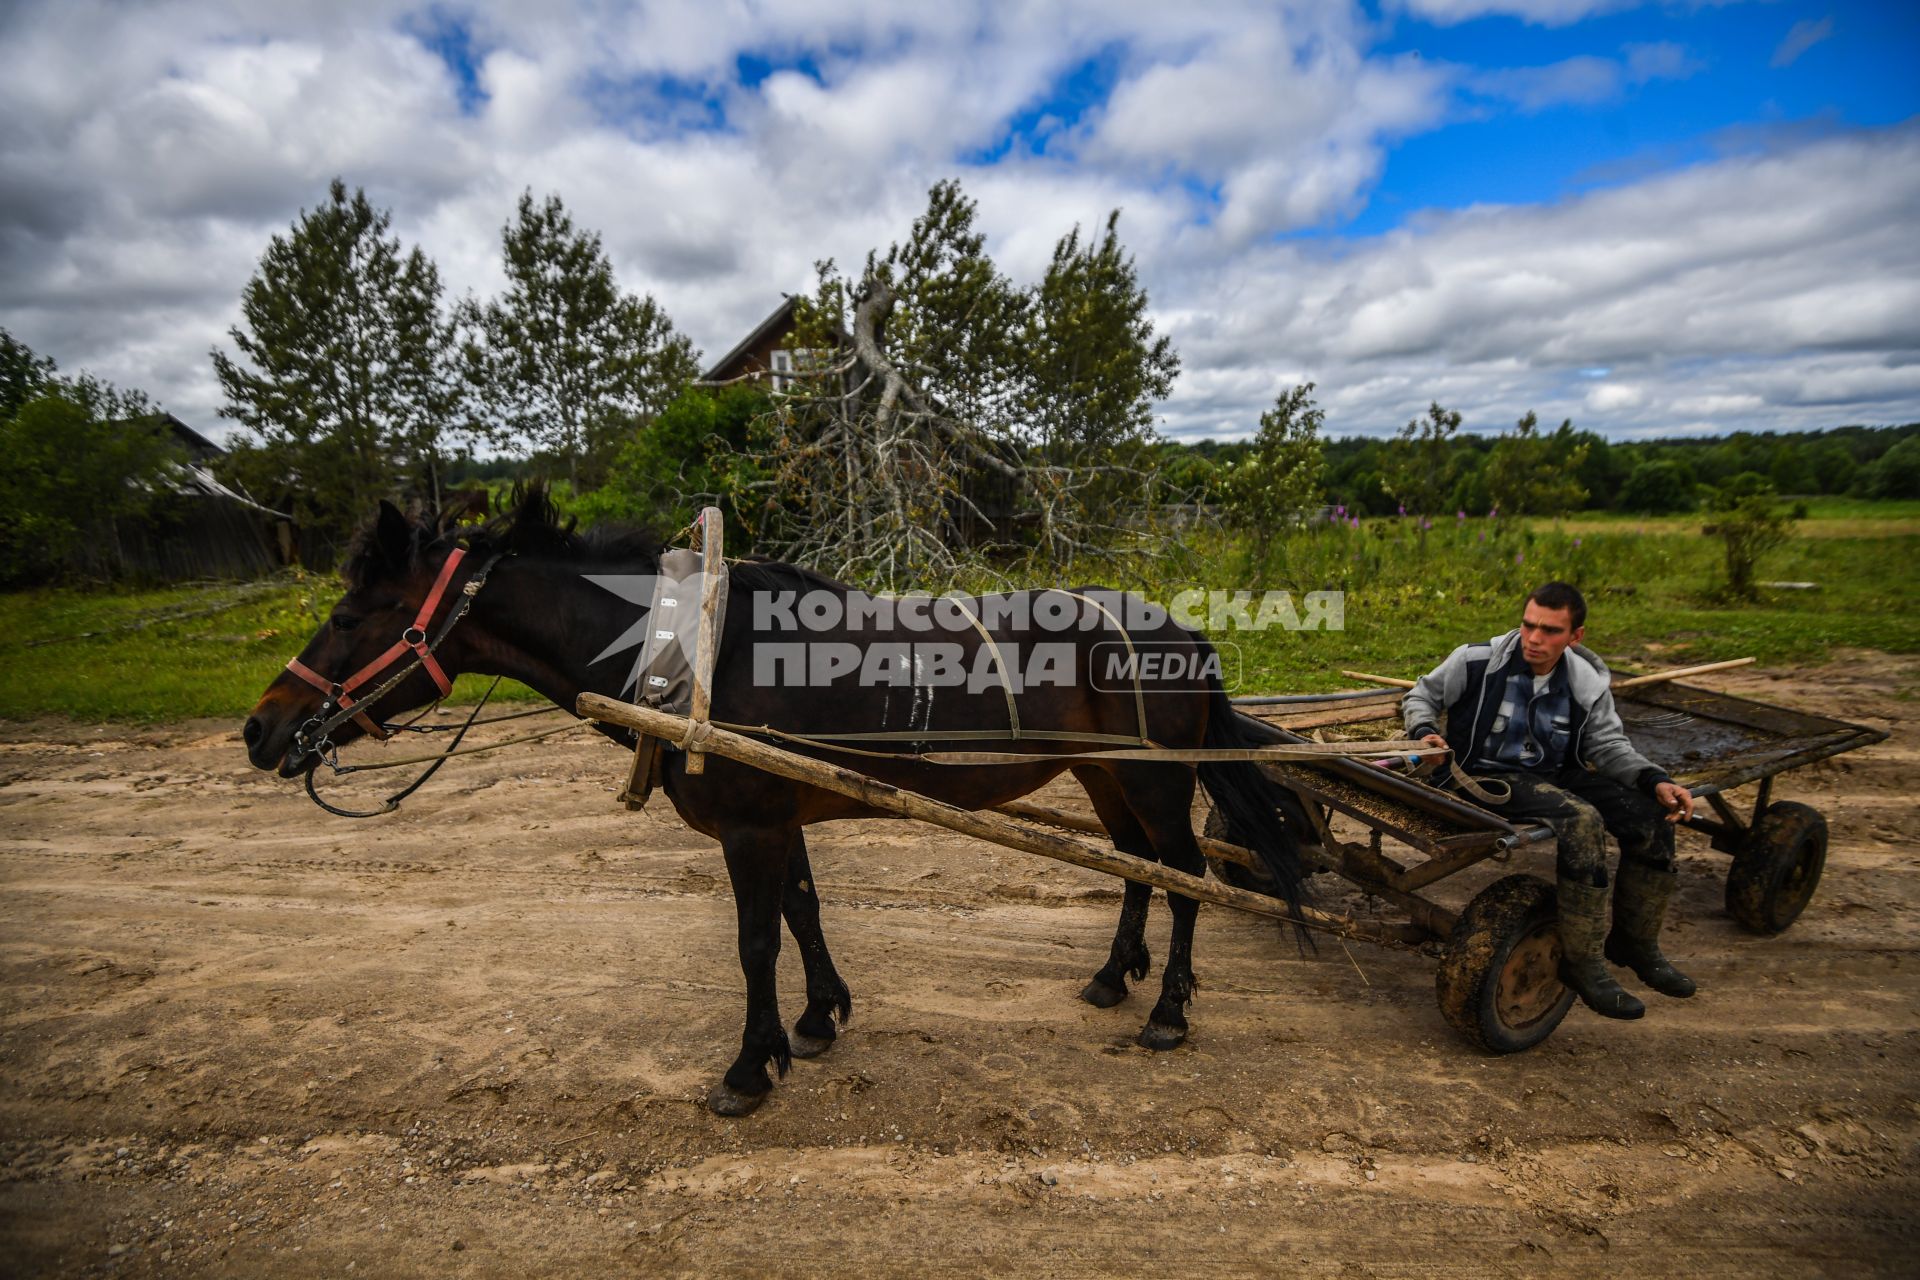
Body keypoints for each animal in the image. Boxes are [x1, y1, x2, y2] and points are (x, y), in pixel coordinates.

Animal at [243, 491, 1305, 1113]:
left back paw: (1166, 1010)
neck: (686, 657)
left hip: (1157, 776)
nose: (259, 730)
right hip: (1102, 773)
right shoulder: (781, 814)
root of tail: (1188, 630)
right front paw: (821, 1018)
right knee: (1136, 870)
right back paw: (1113, 976)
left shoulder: (750, 823)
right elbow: (802, 911)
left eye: (350, 615)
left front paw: (749, 1069)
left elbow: (756, 940)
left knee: (1187, 875)